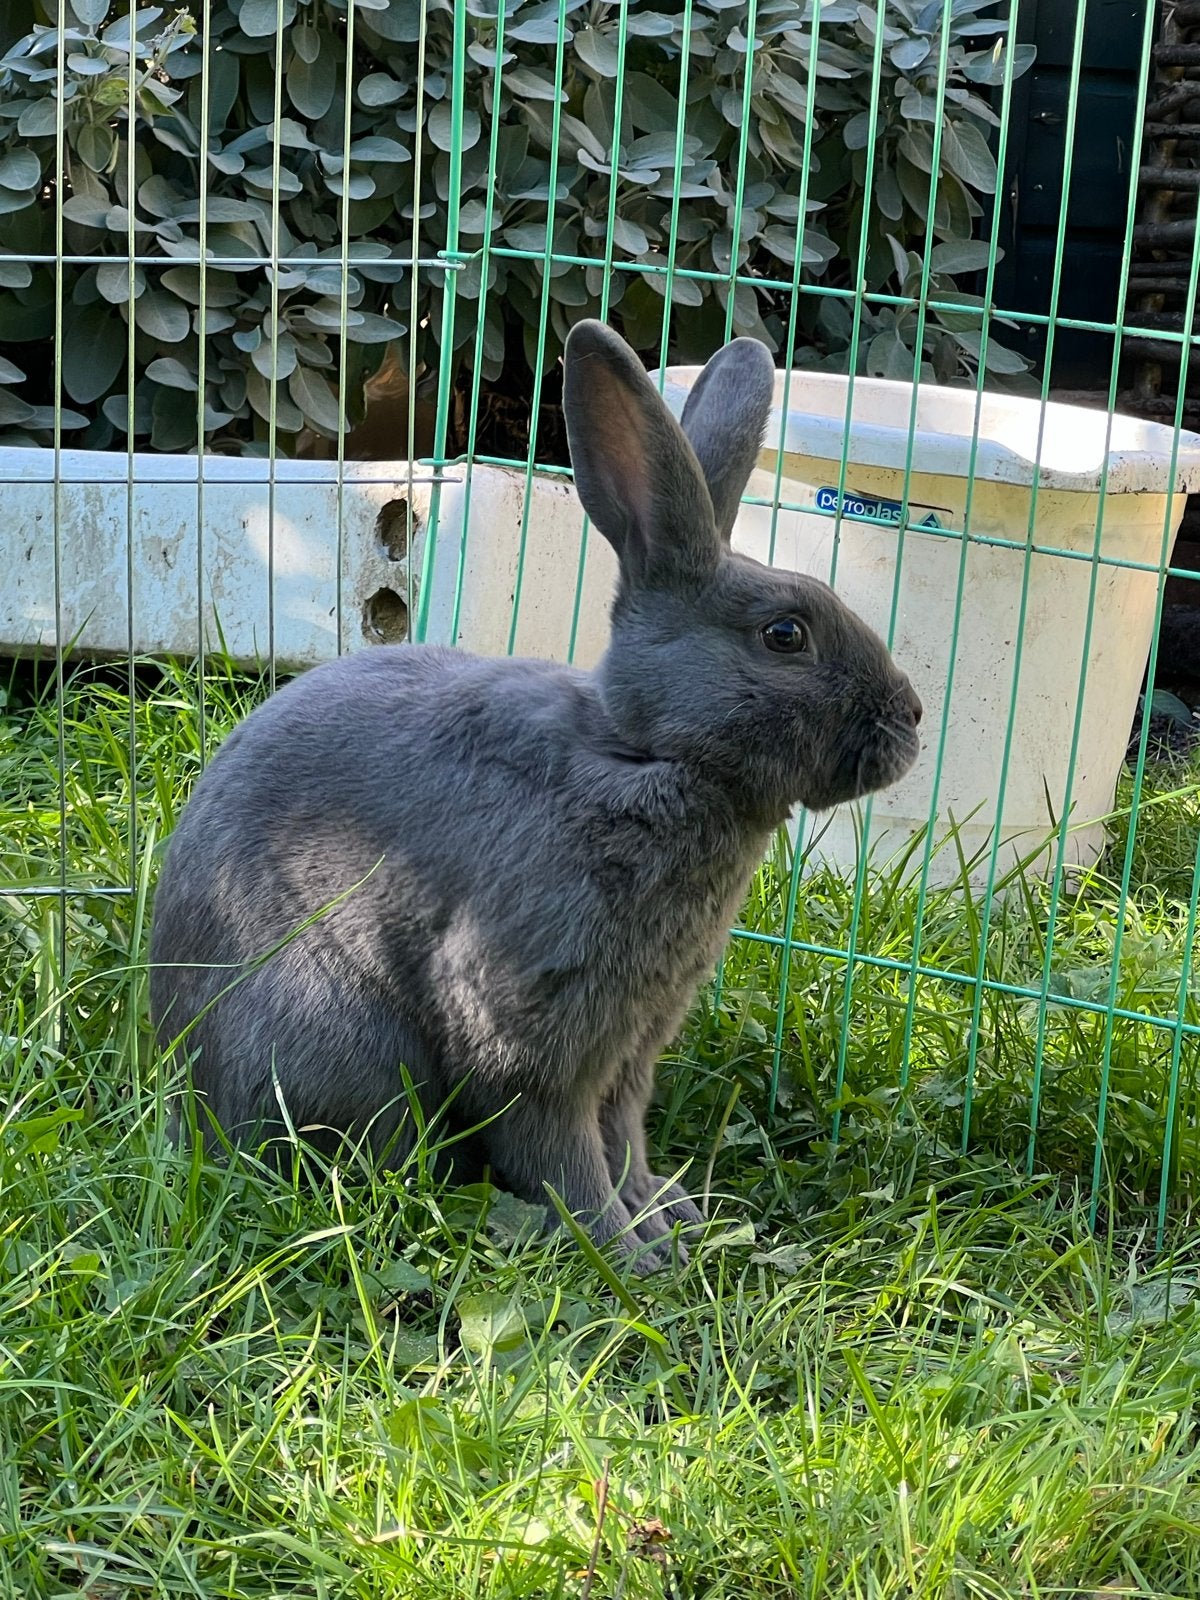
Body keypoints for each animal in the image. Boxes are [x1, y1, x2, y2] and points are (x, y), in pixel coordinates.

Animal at [149, 319, 922, 1271]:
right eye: (785, 635)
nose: (912, 720)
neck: (642, 755)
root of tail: (185, 1076)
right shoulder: (531, 1031)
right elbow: (557, 1148)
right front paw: (626, 1252)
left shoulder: (629, 1048)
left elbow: (621, 1136)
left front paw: (665, 1219)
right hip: (347, 1044)